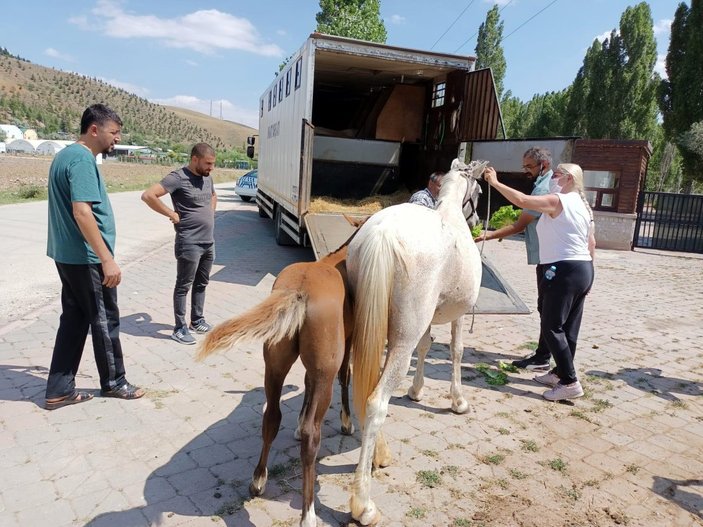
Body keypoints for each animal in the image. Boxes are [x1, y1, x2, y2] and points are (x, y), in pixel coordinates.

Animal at [346, 159, 484, 524]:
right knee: (376, 401)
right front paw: (458, 401)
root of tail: (381, 233)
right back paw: (363, 504)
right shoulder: (458, 313)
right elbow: (456, 350)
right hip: (399, 343)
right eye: (480, 192)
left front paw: (416, 390)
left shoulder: (427, 319)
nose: (479, 222)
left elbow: (426, 345)